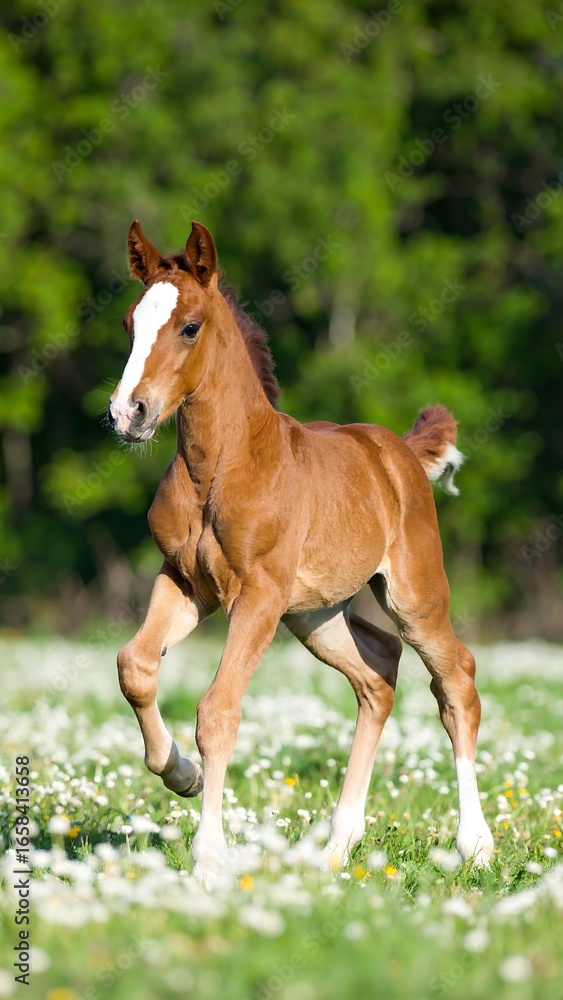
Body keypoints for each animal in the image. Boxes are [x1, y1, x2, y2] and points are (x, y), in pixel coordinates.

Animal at [107, 219, 494, 886]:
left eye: (189, 326)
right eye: (132, 323)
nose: (128, 413)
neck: (221, 466)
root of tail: (397, 452)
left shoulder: (258, 594)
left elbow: (218, 710)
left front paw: (209, 857)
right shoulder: (184, 582)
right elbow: (135, 666)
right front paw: (183, 776)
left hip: (413, 595)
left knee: (456, 680)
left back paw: (475, 844)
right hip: (314, 615)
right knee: (378, 675)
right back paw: (338, 846)